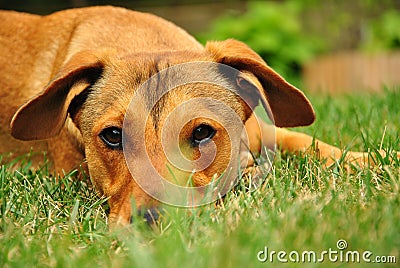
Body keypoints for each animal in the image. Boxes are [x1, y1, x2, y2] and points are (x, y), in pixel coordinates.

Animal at [0, 5, 396, 225]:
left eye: (203, 132)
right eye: (113, 136)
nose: (150, 221)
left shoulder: (263, 130)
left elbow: (308, 141)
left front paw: (372, 160)